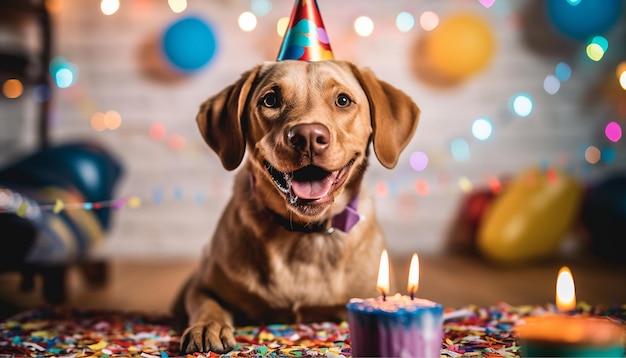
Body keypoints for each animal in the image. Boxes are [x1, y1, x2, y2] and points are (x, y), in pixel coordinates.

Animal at [176, 58, 416, 352]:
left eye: (343, 100)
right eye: (270, 100)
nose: (308, 136)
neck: (305, 234)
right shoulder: (200, 285)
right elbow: (207, 303)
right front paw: (207, 326)